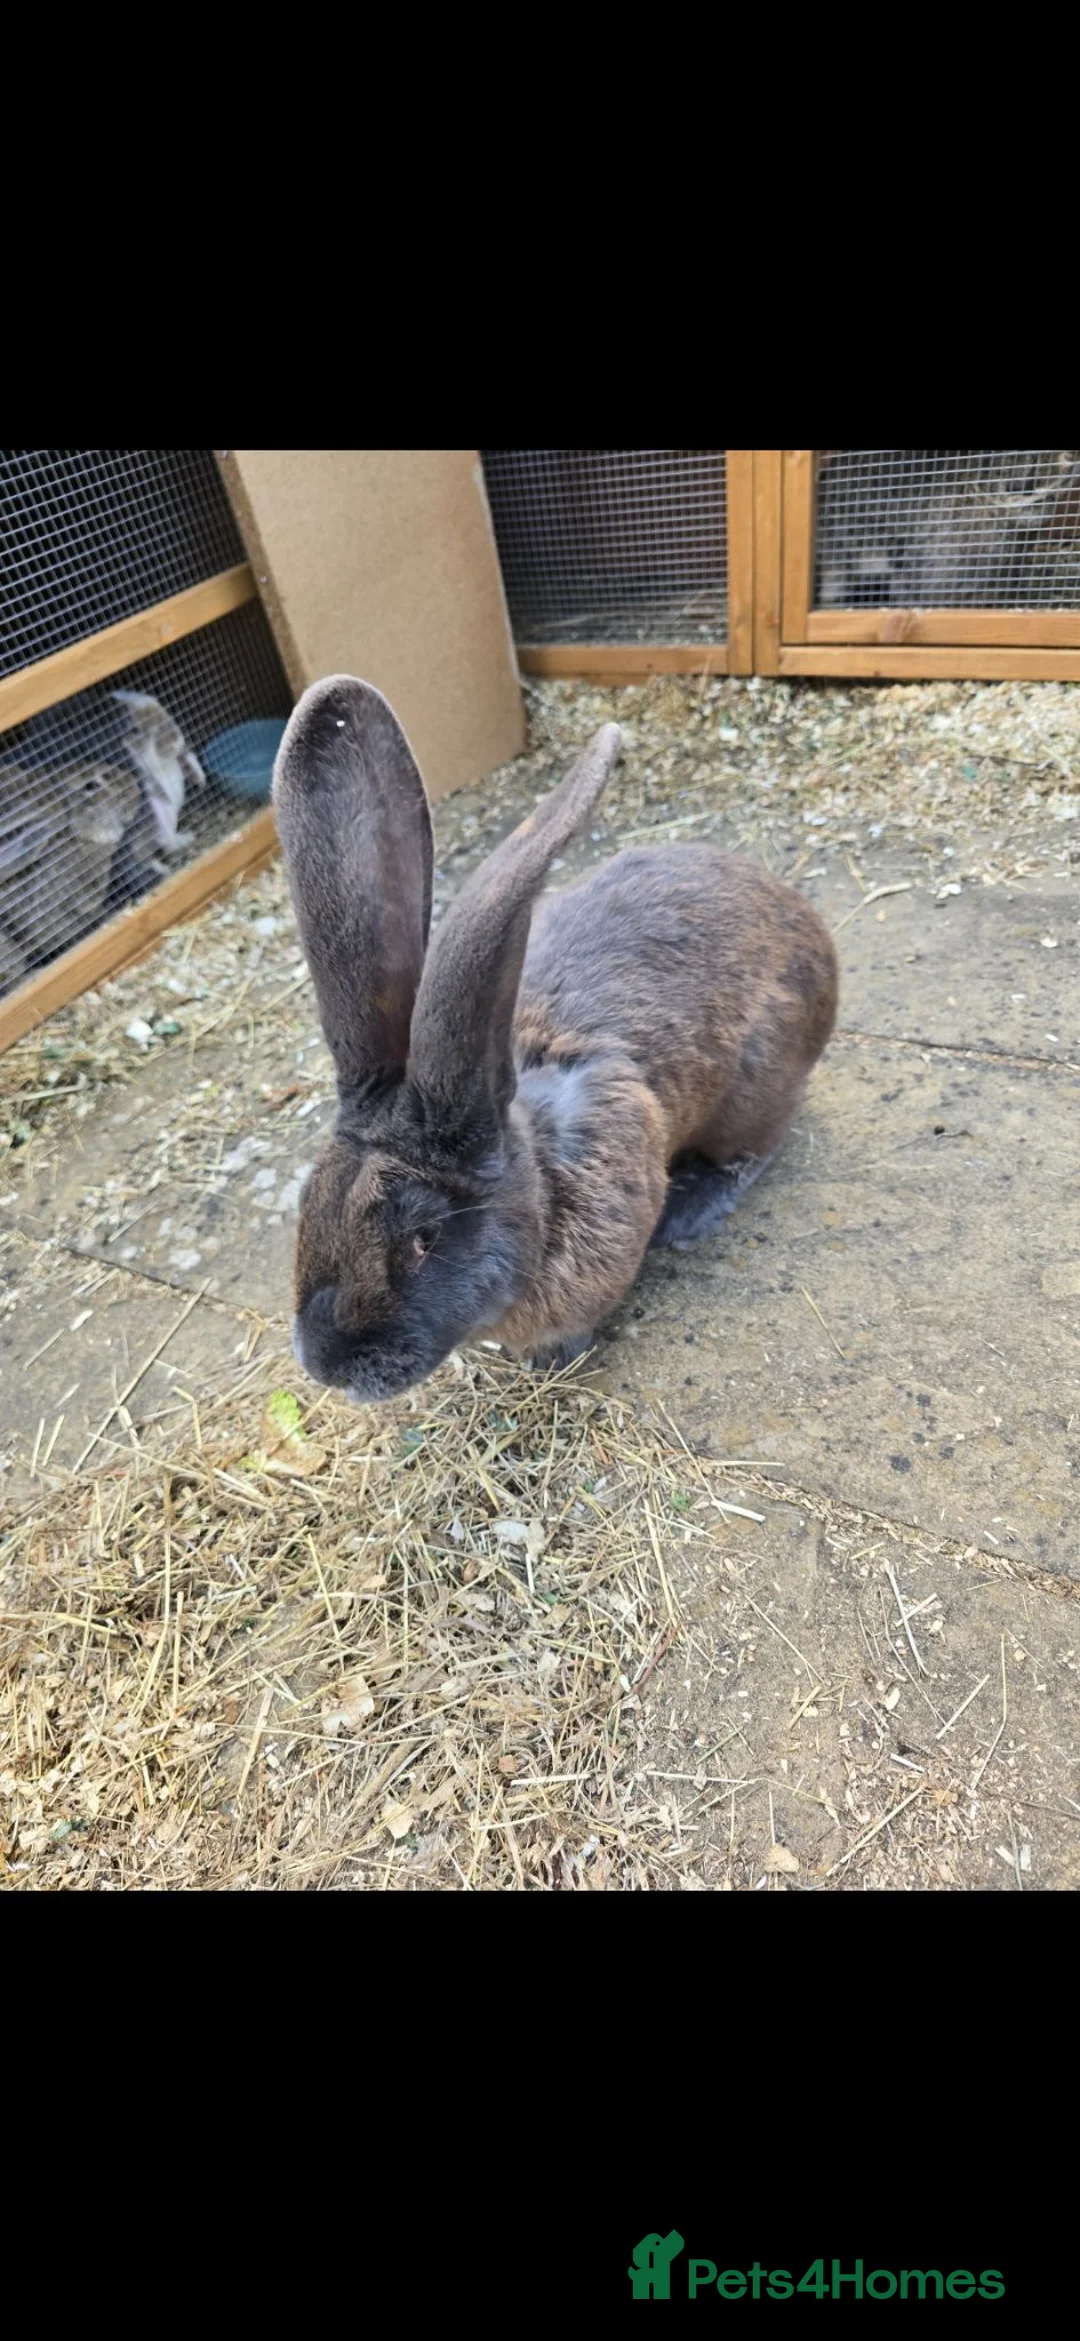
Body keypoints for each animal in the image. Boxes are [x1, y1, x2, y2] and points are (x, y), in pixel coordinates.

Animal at [271, 676, 838, 1405]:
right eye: (307, 1207)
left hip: (757, 1083)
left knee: (756, 1148)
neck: (542, 1176)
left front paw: (553, 1359)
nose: (325, 1365)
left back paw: (690, 1213)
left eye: (425, 1238)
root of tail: (808, 925)